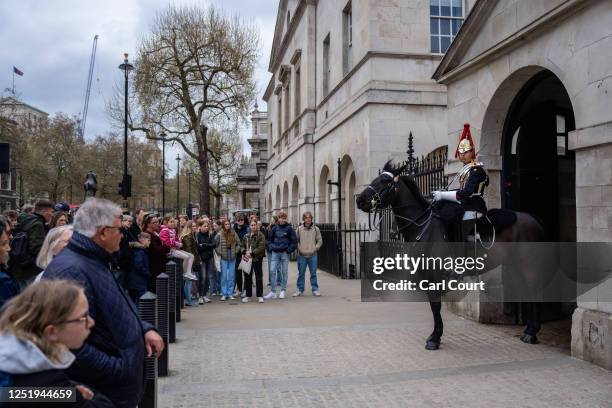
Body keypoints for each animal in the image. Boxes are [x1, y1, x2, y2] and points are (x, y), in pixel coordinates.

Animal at [356, 161, 548, 350]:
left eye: (385, 181)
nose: (359, 200)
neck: (423, 226)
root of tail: (532, 218)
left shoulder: (434, 276)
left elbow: (435, 305)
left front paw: (434, 338)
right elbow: (434, 305)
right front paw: (436, 335)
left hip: (529, 265)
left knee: (536, 292)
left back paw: (532, 333)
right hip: (515, 265)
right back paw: (528, 330)